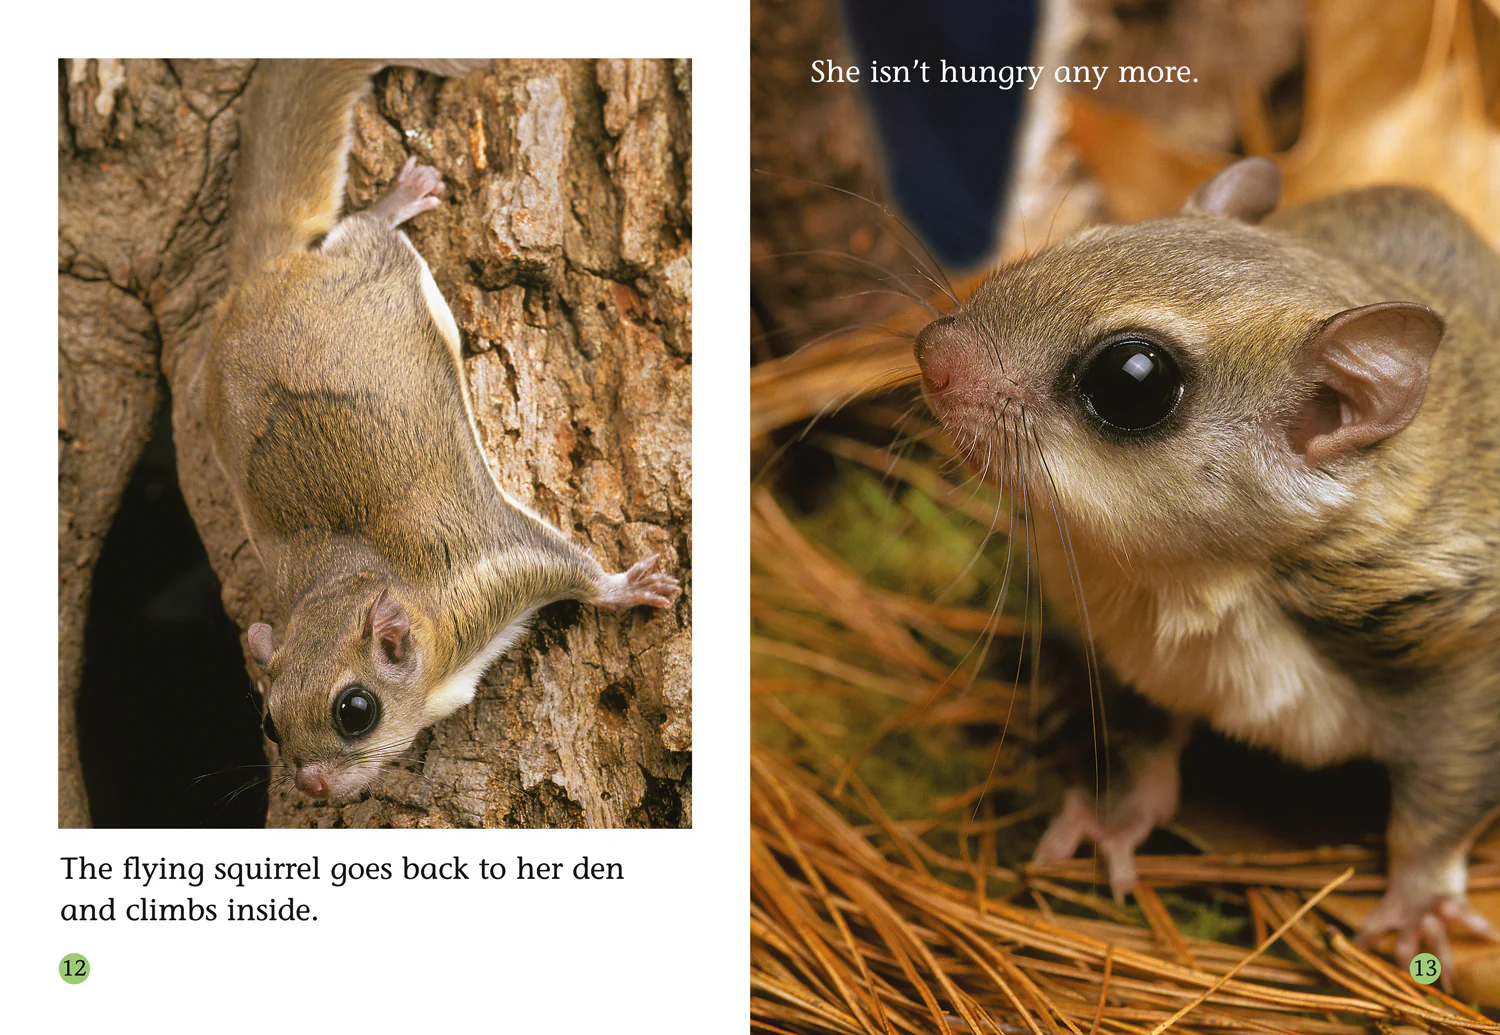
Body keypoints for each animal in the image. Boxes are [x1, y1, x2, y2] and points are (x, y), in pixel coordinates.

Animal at [205, 60, 680, 802]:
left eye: (355, 710)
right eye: (270, 721)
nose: (313, 788)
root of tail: (265, 272)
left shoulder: (499, 571)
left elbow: (577, 570)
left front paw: (627, 588)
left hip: (371, 263)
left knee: (365, 229)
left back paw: (397, 199)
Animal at [914, 157, 1500, 974]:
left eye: (1133, 380)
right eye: (1086, 238)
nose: (931, 354)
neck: (1195, 577)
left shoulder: (1453, 669)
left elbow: (1440, 808)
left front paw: (1418, 907)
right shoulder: (1133, 660)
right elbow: (1139, 754)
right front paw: (1113, 822)